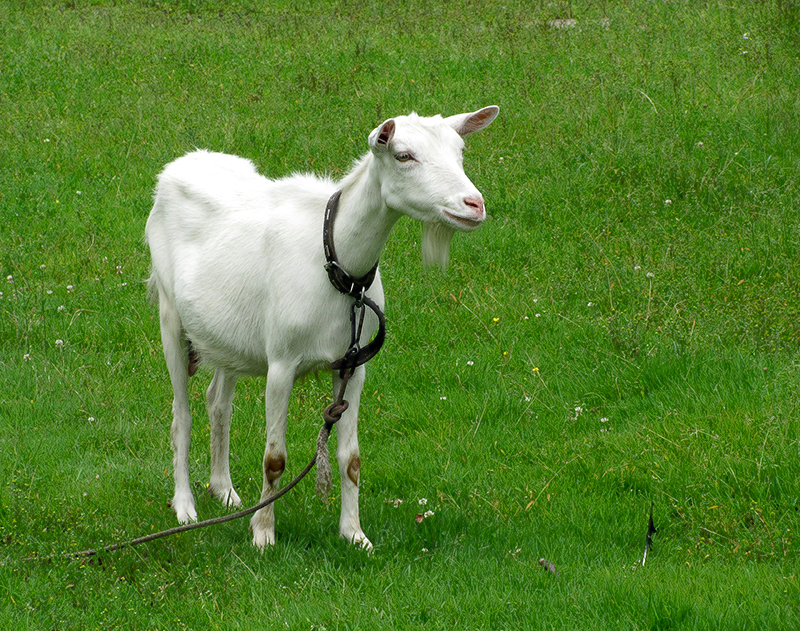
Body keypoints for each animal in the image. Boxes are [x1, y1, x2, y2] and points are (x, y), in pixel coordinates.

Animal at [141, 106, 496, 552]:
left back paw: (224, 491)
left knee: (217, 402)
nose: (474, 204)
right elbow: (274, 459)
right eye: (404, 155)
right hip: (170, 314)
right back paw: (186, 507)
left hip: (227, 336)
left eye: (460, 151)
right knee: (181, 414)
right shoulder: (281, 363)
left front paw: (355, 535)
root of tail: (177, 167)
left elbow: (352, 459)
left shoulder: (354, 365)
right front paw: (263, 533)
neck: (336, 263)